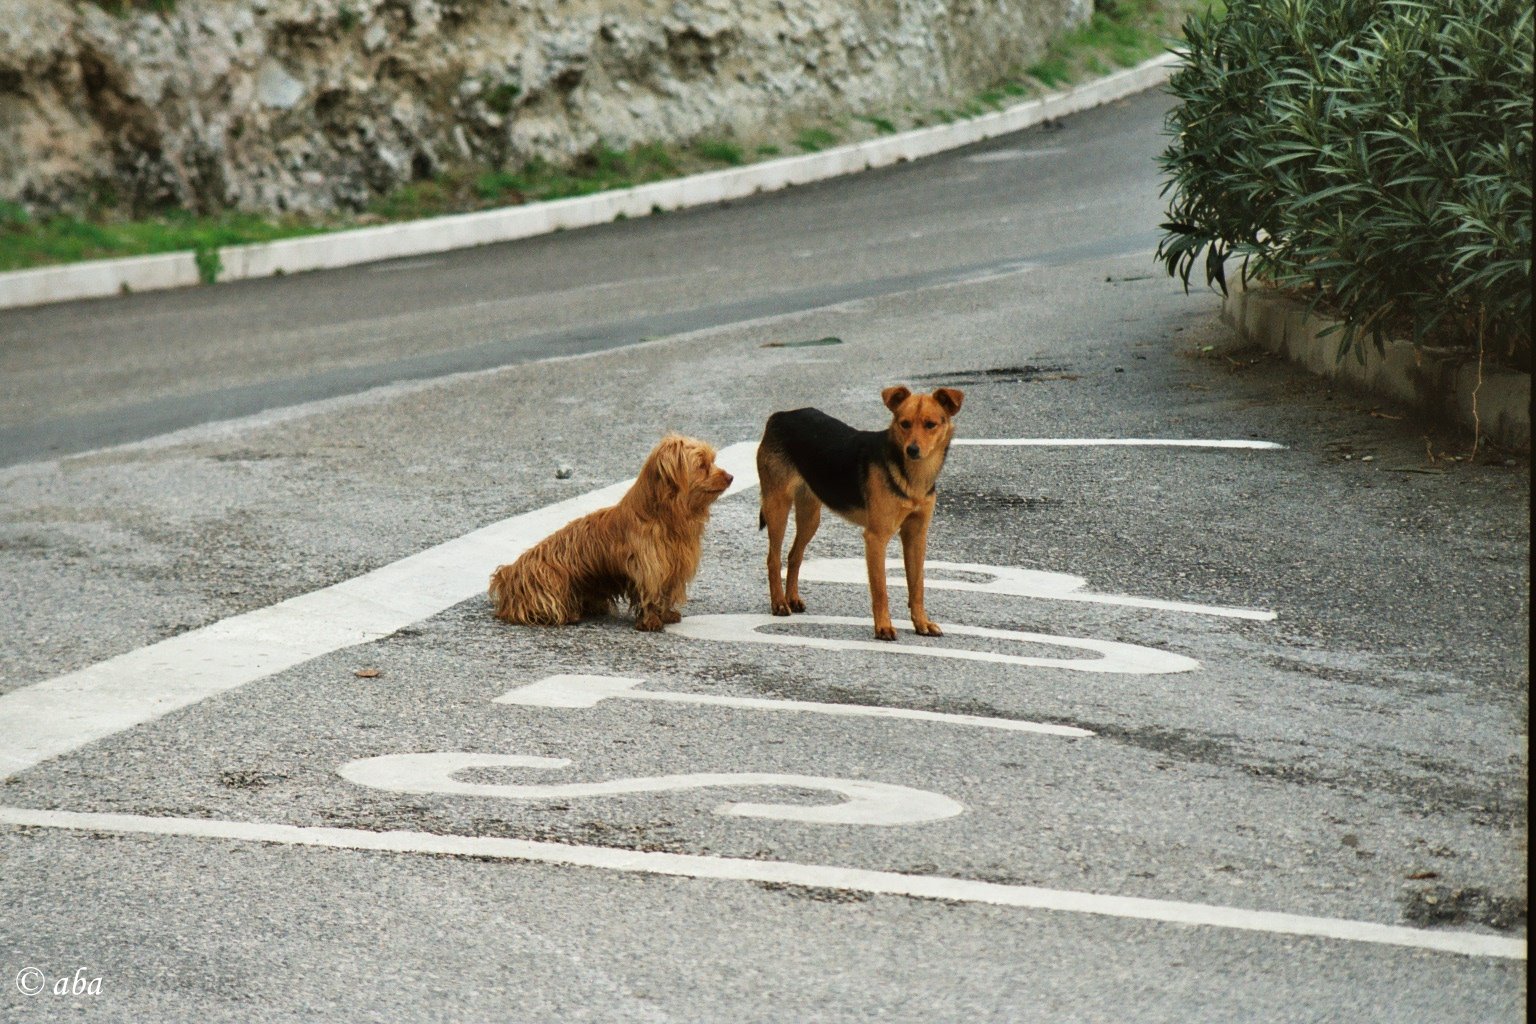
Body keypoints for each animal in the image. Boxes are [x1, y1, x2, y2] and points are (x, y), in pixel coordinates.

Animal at [491, 436, 731, 629]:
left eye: (712, 460)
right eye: (702, 464)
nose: (730, 477)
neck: (665, 517)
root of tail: (509, 574)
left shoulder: (674, 567)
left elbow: (665, 593)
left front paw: (666, 614)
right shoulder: (649, 567)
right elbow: (650, 593)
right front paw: (651, 621)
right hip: (550, 579)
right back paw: (569, 615)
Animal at [755, 386, 958, 641]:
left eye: (931, 425)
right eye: (904, 424)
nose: (912, 450)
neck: (912, 477)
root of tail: (780, 416)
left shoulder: (916, 536)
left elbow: (917, 585)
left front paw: (921, 623)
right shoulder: (876, 538)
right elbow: (880, 589)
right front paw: (883, 628)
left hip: (810, 516)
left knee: (794, 555)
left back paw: (792, 599)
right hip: (777, 508)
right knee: (773, 559)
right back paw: (779, 603)